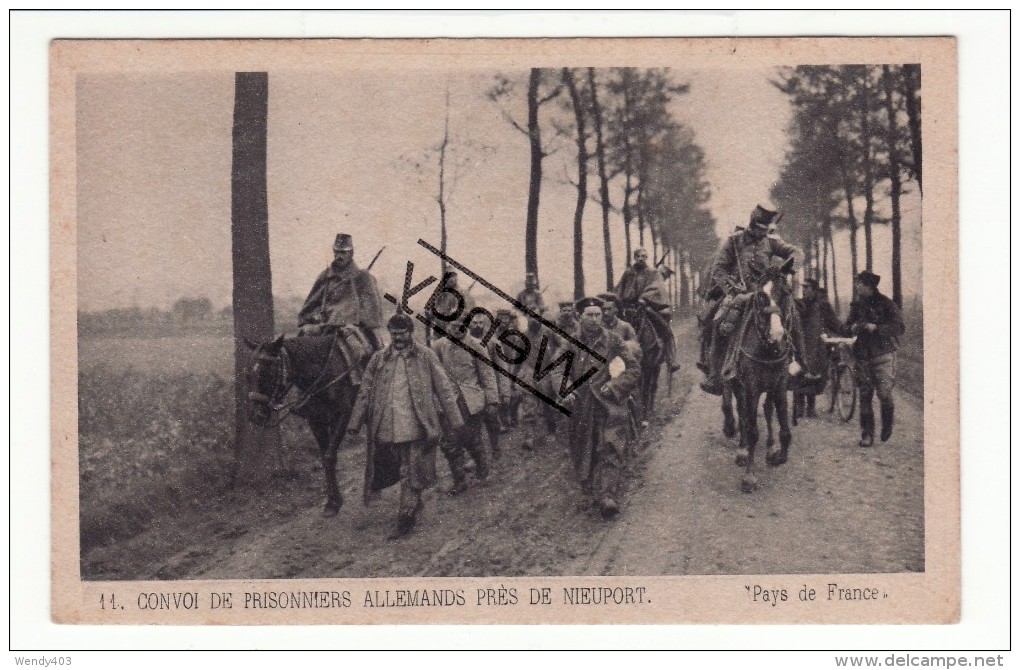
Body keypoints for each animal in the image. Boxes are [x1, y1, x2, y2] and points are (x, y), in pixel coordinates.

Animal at [244, 328, 373, 518]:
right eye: (248, 375)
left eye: (268, 373)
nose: (255, 415)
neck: (324, 373)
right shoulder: (316, 422)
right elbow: (325, 457)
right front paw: (332, 503)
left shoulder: (343, 415)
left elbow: (329, 456)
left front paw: (335, 501)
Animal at [726, 265, 795, 491]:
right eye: (761, 296)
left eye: (786, 292)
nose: (777, 335)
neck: (768, 350)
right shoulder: (751, 387)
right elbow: (752, 430)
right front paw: (749, 477)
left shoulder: (780, 382)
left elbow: (782, 422)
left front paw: (779, 454)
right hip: (738, 386)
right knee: (742, 413)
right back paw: (742, 450)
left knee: (767, 409)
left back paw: (771, 448)